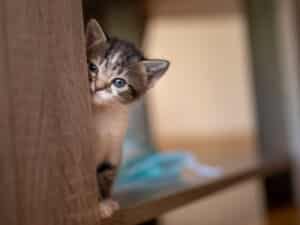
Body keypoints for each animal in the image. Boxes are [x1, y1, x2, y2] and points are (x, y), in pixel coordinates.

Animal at [85, 19, 169, 218]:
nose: (97, 87)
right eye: (93, 67)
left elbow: (105, 174)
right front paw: (100, 205)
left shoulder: (113, 146)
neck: (103, 114)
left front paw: (105, 201)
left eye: (119, 82)